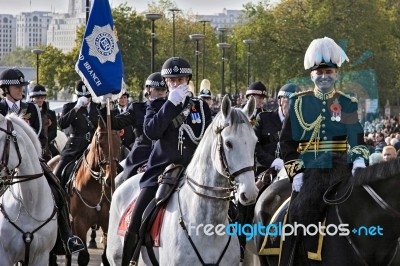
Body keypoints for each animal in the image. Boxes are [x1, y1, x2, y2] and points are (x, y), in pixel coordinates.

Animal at [65, 120, 119, 266]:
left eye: (119, 143)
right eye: (100, 143)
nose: (110, 178)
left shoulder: (107, 222)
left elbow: (106, 257)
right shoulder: (80, 223)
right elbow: (83, 257)